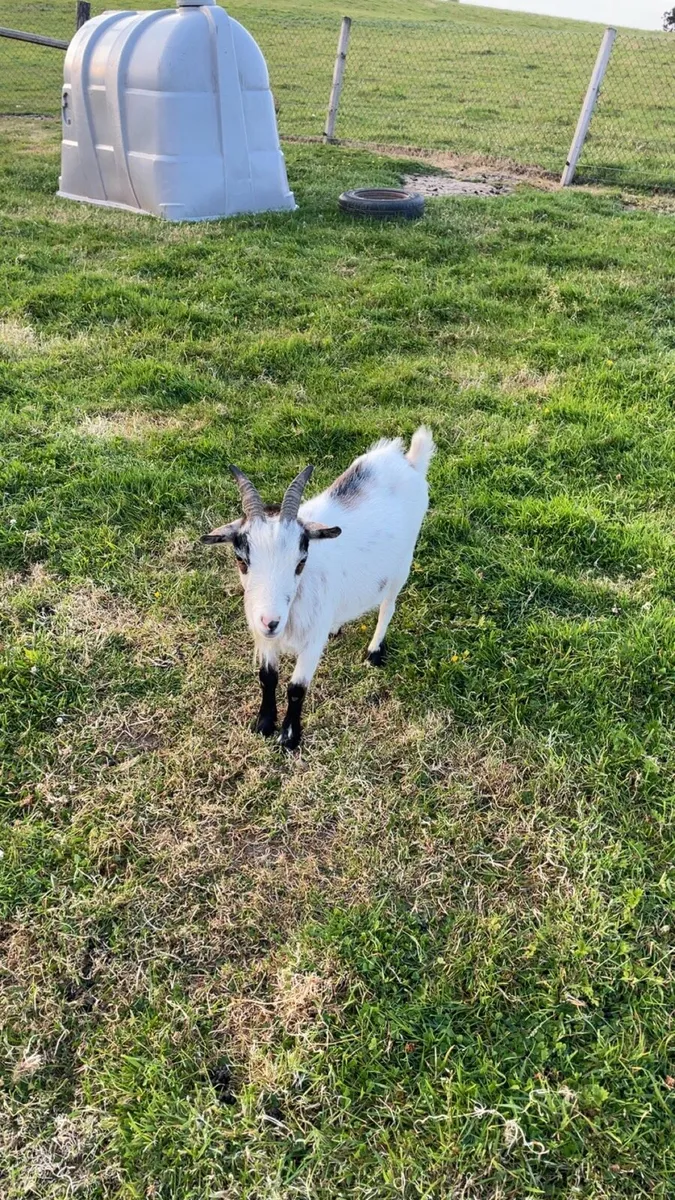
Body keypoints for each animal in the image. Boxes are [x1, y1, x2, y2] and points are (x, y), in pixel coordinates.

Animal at [202, 426, 435, 750]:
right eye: (241, 559)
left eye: (301, 561)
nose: (270, 621)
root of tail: (407, 460)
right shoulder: (264, 639)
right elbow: (267, 677)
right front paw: (264, 724)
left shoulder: (311, 644)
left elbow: (296, 688)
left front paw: (289, 738)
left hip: (403, 563)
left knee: (388, 606)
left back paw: (374, 652)